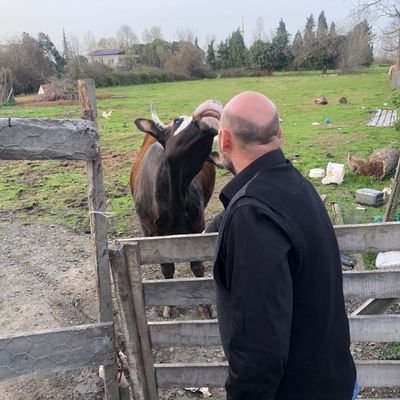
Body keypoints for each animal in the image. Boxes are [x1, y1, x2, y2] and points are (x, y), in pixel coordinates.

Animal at [130, 101, 222, 318]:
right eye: (179, 121)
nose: (210, 106)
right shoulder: (152, 234)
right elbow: (167, 267)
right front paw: (169, 305)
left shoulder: (198, 226)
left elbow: (197, 265)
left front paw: (205, 305)